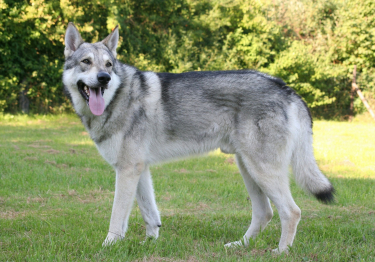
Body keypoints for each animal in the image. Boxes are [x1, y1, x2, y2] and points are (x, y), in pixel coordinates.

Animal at [62, 23, 334, 254]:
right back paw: (239, 245)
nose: (104, 78)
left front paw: (108, 246)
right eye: (86, 62)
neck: (117, 98)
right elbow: (150, 213)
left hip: (262, 171)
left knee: (292, 211)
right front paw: (150, 243)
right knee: (264, 213)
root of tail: (285, 88)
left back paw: (281, 251)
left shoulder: (128, 169)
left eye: (108, 65)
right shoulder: (139, 168)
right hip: (247, 169)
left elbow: (117, 216)